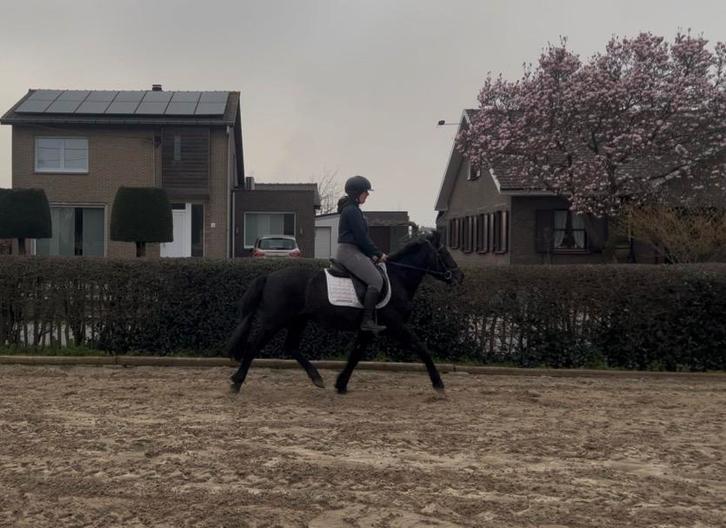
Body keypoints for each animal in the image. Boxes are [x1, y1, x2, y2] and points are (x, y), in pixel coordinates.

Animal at [227, 230, 463, 394]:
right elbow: (422, 349)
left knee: (291, 346)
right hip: (274, 320)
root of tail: (270, 276)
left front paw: (341, 384)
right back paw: (237, 382)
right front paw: (439, 385)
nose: (459, 277)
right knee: (254, 345)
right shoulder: (396, 325)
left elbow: (355, 355)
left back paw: (317, 378)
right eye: (444, 253)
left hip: (298, 320)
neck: (398, 279)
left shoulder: (368, 330)